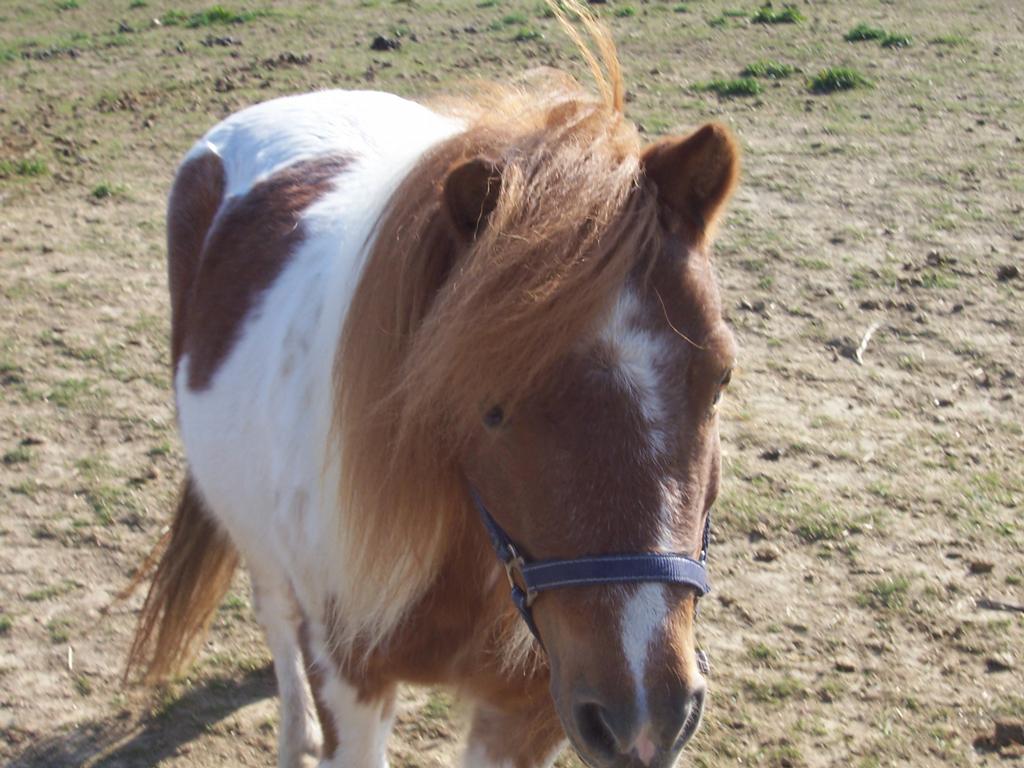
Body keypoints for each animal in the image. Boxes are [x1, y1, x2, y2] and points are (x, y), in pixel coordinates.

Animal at [126, 5, 739, 767]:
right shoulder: (353, 687)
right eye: (490, 408)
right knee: (275, 616)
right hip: (245, 526)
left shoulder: (528, 712)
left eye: (720, 377)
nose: (645, 716)